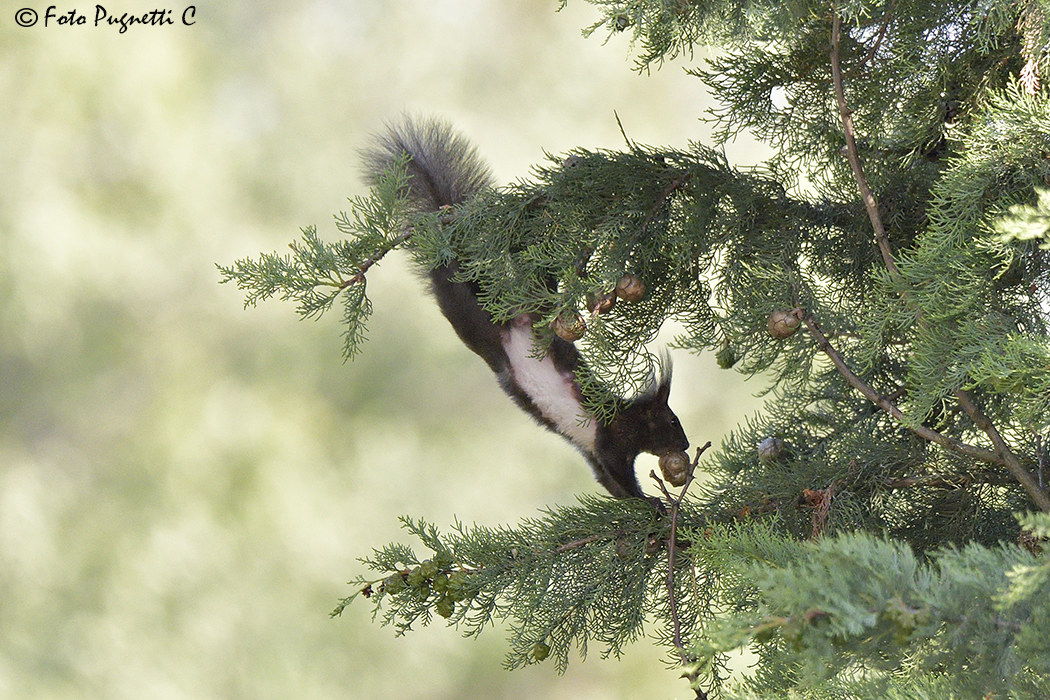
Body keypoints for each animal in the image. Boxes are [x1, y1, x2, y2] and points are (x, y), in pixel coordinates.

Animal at [362, 116, 689, 500]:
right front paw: (653, 504)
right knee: (473, 279)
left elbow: (608, 479)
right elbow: (619, 474)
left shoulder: (593, 453)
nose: (685, 444)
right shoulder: (609, 437)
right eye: (672, 421)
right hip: (471, 315)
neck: (628, 417)